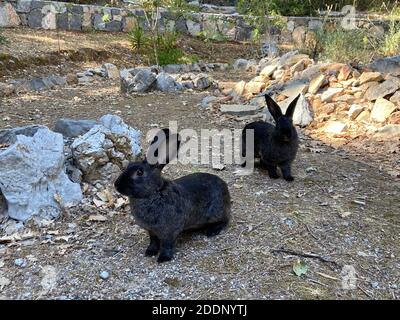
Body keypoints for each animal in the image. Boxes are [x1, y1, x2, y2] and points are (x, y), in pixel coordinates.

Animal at [114, 127, 231, 262]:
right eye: (129, 165)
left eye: (139, 172)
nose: (116, 185)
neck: (154, 193)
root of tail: (224, 187)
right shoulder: (151, 231)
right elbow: (153, 241)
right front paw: (150, 252)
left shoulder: (169, 230)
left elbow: (167, 244)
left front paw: (163, 258)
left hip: (216, 212)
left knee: (224, 220)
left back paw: (212, 231)